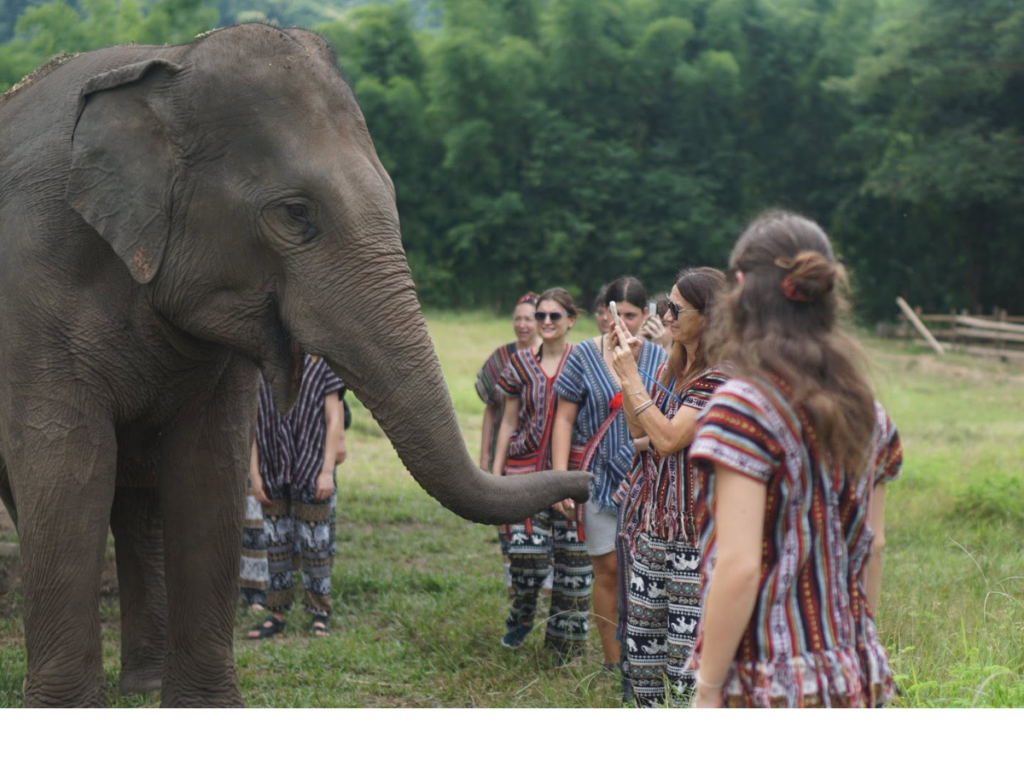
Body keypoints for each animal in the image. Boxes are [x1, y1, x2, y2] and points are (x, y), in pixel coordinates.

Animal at [0, 24, 590, 707]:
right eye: (296, 214)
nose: (585, 487)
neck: (169, 60)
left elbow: (208, 472)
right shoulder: (31, 283)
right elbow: (67, 472)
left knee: (139, 502)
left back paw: (143, 688)